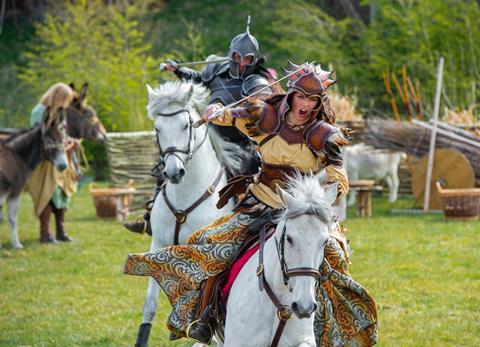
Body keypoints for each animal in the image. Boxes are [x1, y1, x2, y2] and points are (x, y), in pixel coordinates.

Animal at [134, 81, 248, 347]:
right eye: (157, 128)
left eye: (186, 125)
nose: (173, 172)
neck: (184, 196)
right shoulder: (158, 245)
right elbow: (150, 304)